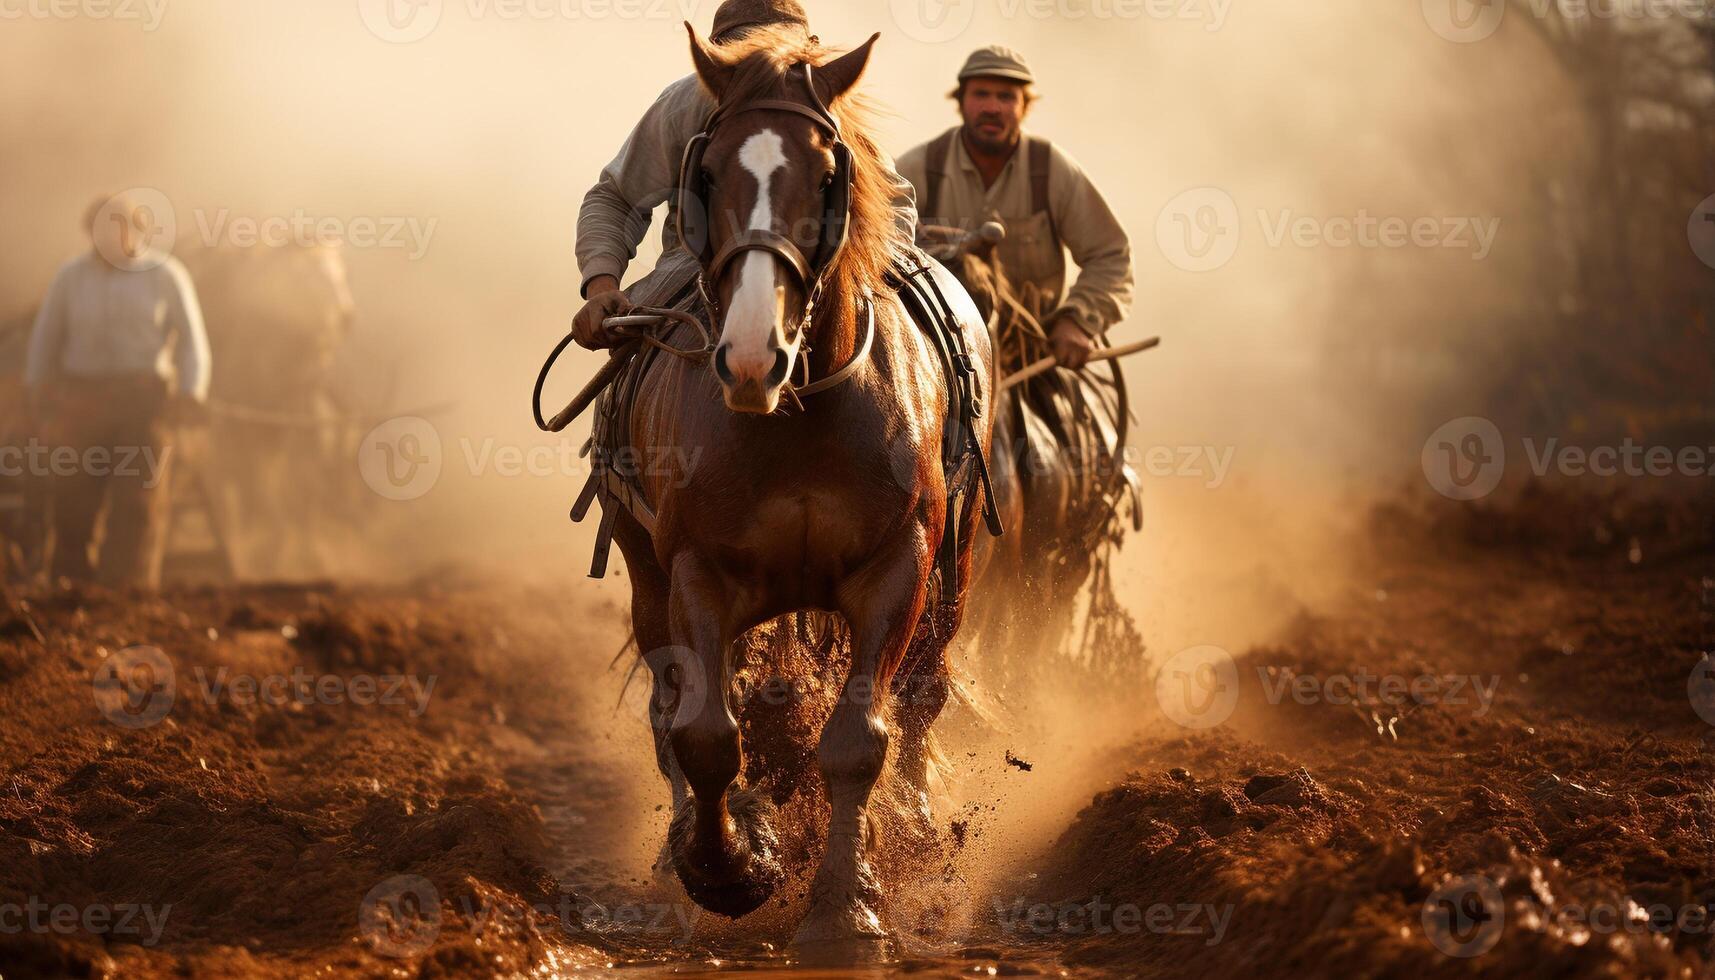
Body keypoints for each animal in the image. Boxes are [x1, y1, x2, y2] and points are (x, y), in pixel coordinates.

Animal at [610, 26, 994, 954]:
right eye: (708, 173)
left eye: (827, 175)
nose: (753, 356)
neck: (800, 411)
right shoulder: (697, 572)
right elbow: (708, 736)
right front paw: (729, 868)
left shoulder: (899, 568)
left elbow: (857, 739)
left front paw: (847, 908)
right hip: (645, 574)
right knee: (671, 709)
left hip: (956, 569)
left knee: (924, 694)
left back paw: (916, 829)